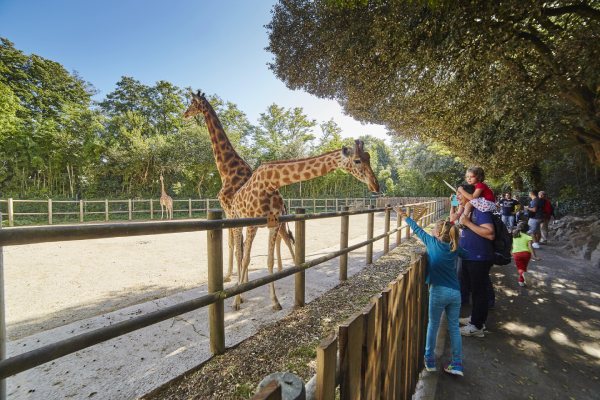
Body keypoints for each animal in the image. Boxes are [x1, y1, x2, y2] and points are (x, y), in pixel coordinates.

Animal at [183, 91, 296, 282]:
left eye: (192, 103)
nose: (184, 114)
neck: (227, 170)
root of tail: (284, 203)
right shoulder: (233, 213)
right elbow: (238, 246)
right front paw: (236, 278)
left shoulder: (229, 210)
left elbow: (235, 246)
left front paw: (234, 279)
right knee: (284, 240)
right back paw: (282, 270)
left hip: (277, 222)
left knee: (286, 240)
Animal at [231, 139, 380, 310]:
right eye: (357, 160)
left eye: (368, 157)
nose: (376, 185)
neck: (270, 183)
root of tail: (234, 198)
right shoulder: (252, 224)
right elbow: (245, 259)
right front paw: (236, 301)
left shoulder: (274, 224)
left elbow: (270, 261)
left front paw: (275, 302)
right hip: (237, 222)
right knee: (239, 254)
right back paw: (239, 295)